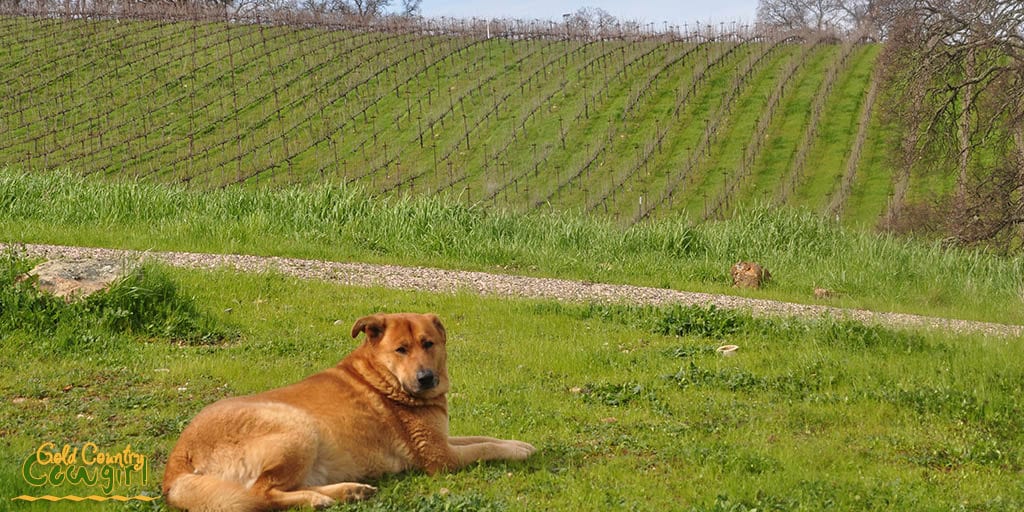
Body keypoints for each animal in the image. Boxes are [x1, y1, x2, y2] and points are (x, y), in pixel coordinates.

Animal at [159, 311, 536, 512]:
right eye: (401, 350)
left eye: (429, 344)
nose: (426, 378)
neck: (381, 379)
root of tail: (179, 460)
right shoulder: (441, 457)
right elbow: (483, 448)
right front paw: (518, 452)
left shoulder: (443, 439)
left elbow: (482, 437)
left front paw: (519, 443)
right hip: (298, 427)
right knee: (259, 495)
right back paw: (320, 499)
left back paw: (349, 491)